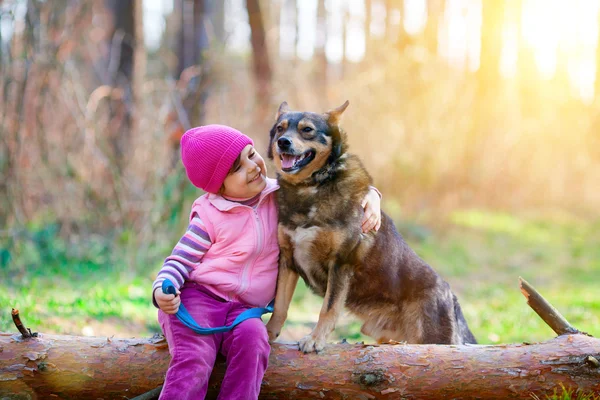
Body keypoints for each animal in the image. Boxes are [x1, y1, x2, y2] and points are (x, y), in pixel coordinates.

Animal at [264, 101, 476, 354]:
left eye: (307, 130)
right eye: (280, 128)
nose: (283, 142)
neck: (311, 187)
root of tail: (451, 298)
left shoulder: (341, 263)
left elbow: (328, 309)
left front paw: (315, 339)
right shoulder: (287, 260)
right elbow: (280, 306)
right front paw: (267, 334)